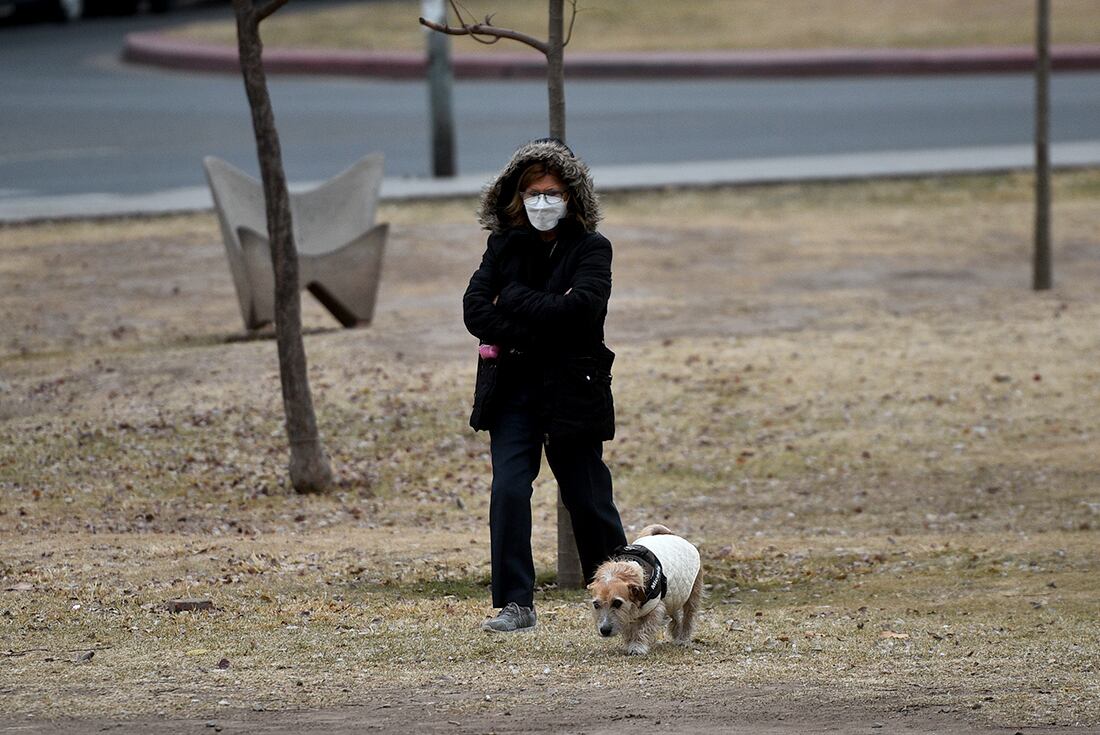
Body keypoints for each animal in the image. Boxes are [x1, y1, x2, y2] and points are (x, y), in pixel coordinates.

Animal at [589, 521, 699, 655]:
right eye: (596, 605)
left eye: (617, 603)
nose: (604, 630)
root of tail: (670, 534)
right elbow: (629, 629)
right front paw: (630, 643)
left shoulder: (655, 608)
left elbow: (644, 628)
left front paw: (637, 645)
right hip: (673, 597)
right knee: (675, 615)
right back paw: (676, 632)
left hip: (691, 594)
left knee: (688, 617)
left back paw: (683, 639)